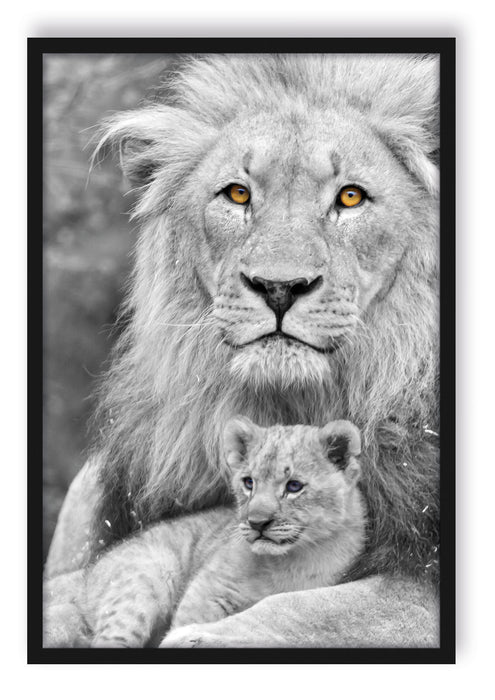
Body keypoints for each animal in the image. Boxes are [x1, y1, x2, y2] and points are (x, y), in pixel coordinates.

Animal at [45, 54, 440, 648]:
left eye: (350, 196)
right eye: (237, 194)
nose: (278, 287)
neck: (286, 405)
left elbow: (305, 610)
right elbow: (70, 592)